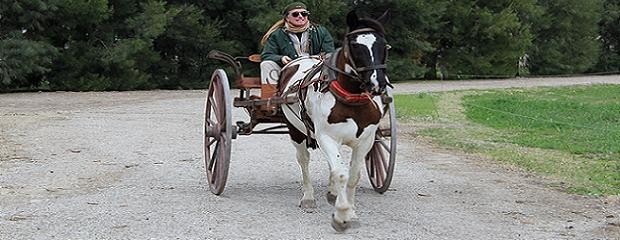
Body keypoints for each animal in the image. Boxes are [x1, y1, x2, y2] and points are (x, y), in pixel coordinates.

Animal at [278, 10, 390, 232]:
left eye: (384, 45)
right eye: (355, 45)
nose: (377, 84)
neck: (351, 99)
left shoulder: (365, 141)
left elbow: (352, 176)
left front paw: (350, 211)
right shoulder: (327, 137)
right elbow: (340, 174)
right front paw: (342, 215)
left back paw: (332, 193)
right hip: (295, 130)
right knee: (304, 160)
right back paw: (309, 197)